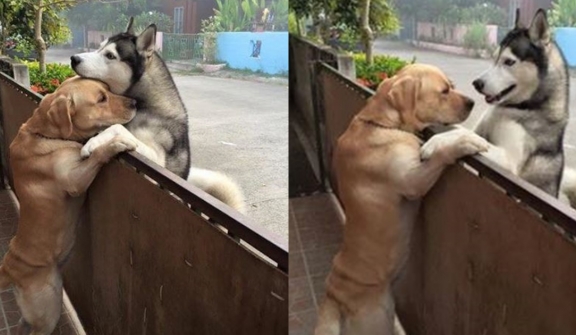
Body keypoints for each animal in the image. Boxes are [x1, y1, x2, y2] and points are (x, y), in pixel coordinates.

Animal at [0, 77, 137, 335]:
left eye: (108, 89)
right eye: (101, 98)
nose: (135, 102)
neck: (45, 134)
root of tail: (10, 268)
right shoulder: (75, 181)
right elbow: (98, 153)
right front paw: (116, 143)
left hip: (33, 311)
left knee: (23, 325)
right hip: (49, 310)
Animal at [312, 64, 488, 334]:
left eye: (452, 85)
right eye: (444, 91)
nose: (472, 102)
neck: (382, 124)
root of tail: (334, 296)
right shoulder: (413, 180)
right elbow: (440, 152)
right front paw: (464, 141)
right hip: (378, 319)